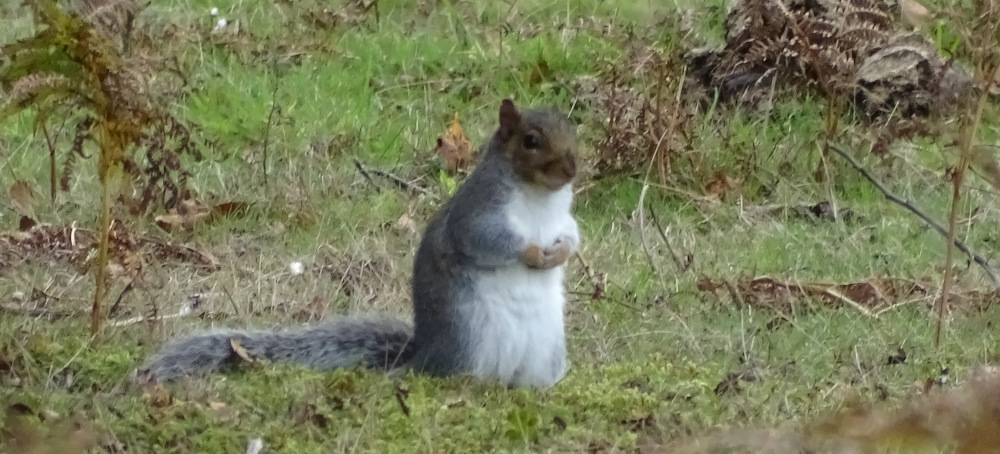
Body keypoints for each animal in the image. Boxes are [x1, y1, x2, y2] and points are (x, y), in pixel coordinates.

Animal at [139, 101, 580, 388]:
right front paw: (532, 253)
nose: (572, 168)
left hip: (546, 354)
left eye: (572, 131)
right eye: (531, 140)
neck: (539, 197)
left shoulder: (564, 218)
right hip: (469, 340)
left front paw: (559, 252)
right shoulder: (477, 212)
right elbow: (486, 240)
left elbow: (573, 236)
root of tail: (422, 359)